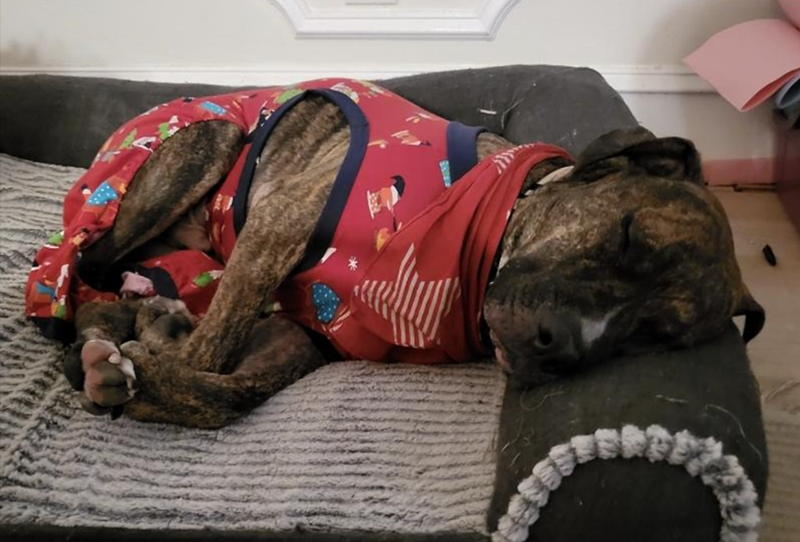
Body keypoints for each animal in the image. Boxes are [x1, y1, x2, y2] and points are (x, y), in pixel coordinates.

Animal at [33, 80, 763, 428]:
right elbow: (216, 348)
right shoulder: (276, 228)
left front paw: (150, 372)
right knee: (89, 265)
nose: (562, 347)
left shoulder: (306, 333)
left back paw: (138, 313)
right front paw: (149, 358)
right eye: (628, 233)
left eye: (655, 336)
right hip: (211, 140)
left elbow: (233, 390)